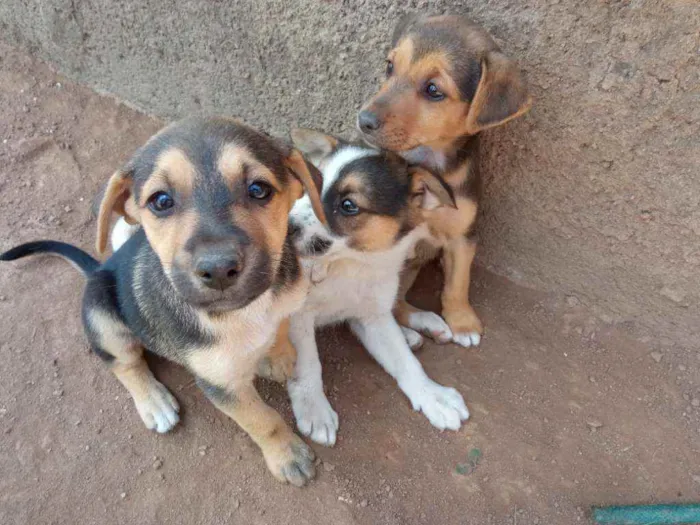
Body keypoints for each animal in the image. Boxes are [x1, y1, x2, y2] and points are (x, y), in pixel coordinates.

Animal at [0, 116, 328, 486]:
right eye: (160, 201)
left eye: (259, 190)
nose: (218, 269)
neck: (247, 310)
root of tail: (98, 269)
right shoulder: (220, 383)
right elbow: (263, 420)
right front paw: (287, 455)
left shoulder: (289, 299)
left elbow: (281, 324)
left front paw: (278, 355)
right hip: (102, 316)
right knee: (124, 362)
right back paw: (154, 402)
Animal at [282, 129, 468, 444]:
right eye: (308, 187)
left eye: (348, 205)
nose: (282, 228)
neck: (350, 265)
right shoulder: (297, 317)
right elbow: (308, 363)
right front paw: (314, 407)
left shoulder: (372, 315)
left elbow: (406, 361)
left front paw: (432, 394)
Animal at [358, 13, 532, 348]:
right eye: (390, 66)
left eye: (433, 90)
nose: (363, 120)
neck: (429, 165)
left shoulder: (463, 236)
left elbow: (458, 283)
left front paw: (463, 322)